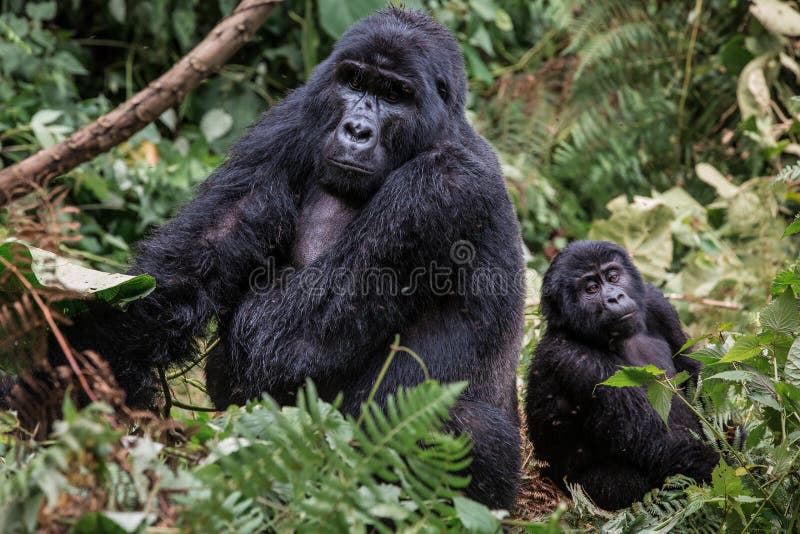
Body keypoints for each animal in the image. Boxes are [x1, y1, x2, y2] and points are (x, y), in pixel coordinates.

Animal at [64, 8, 524, 510]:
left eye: (394, 95)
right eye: (354, 81)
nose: (356, 130)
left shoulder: (444, 189)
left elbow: (284, 339)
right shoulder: (293, 119)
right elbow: (202, 253)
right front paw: (89, 349)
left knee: (464, 428)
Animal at [524, 242, 720, 510]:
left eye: (613, 277)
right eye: (591, 288)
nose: (615, 297)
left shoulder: (657, 303)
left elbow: (694, 376)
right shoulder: (578, 362)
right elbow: (659, 444)